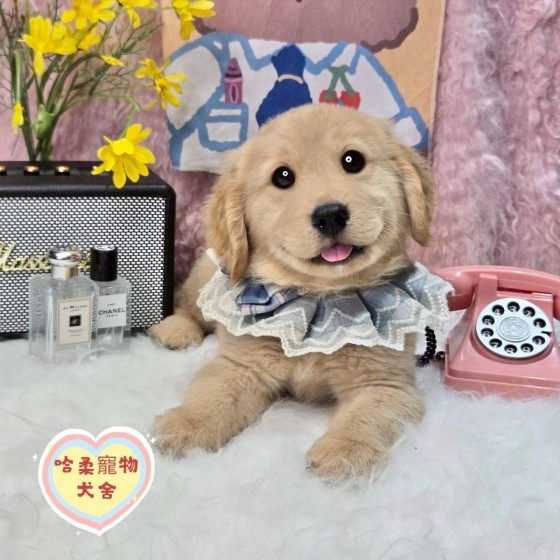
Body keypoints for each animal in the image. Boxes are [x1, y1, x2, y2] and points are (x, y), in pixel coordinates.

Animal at [150, 104, 449, 477]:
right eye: (282, 177)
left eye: (353, 160)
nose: (330, 215)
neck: (320, 297)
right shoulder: (241, 367)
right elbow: (212, 396)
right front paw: (187, 425)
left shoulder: (385, 385)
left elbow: (365, 417)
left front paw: (346, 450)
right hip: (202, 280)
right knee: (188, 305)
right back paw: (175, 330)